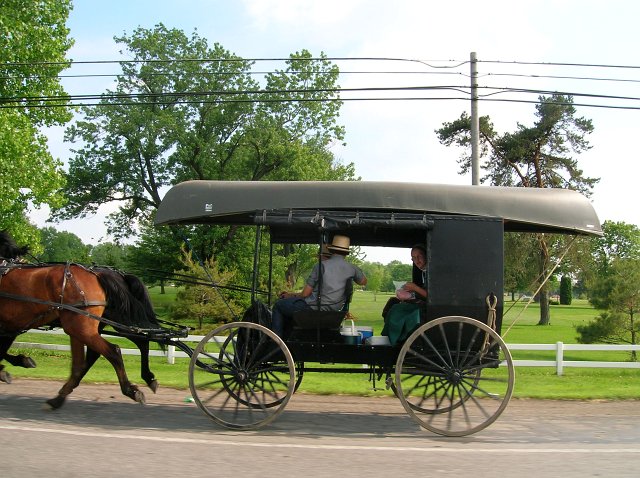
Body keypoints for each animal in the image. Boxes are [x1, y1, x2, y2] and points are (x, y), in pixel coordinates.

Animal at [0, 260, 146, 408]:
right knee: (82, 362)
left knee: (115, 350)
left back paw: (131, 389)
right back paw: (58, 398)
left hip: (81, 328)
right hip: (79, 329)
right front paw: (14, 365)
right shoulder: (11, 327)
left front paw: (10, 367)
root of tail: (97, 275)